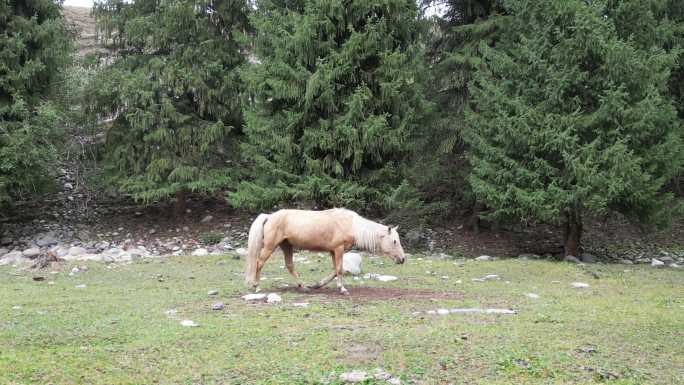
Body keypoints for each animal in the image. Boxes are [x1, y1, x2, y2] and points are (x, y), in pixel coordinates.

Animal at [246, 207, 406, 294]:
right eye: (394, 241)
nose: (402, 259)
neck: (351, 225)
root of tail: (269, 216)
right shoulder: (339, 249)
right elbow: (340, 269)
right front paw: (342, 289)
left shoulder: (333, 251)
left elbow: (336, 270)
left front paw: (318, 284)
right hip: (270, 246)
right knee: (259, 263)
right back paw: (256, 287)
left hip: (286, 246)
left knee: (290, 266)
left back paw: (304, 287)